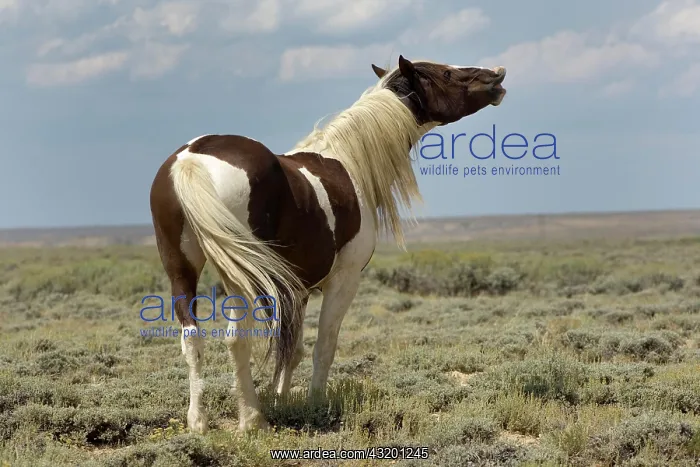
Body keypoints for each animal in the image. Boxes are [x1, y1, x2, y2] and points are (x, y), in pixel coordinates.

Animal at [149, 55, 507, 433]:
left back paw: (198, 422)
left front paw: (281, 400)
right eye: (447, 73)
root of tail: (192, 158)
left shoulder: (297, 289)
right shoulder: (344, 280)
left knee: (193, 339)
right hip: (238, 279)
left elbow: (291, 348)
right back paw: (251, 420)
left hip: (181, 271)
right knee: (237, 339)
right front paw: (314, 405)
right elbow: (324, 345)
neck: (348, 162)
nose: (497, 76)